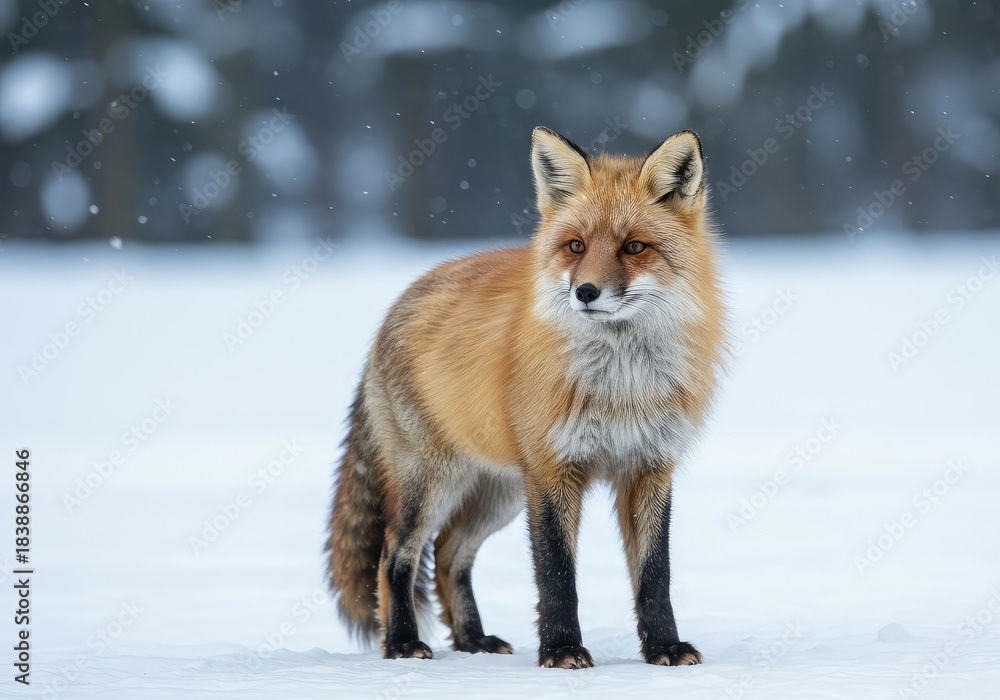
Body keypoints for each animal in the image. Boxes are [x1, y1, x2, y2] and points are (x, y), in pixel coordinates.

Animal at [325, 126, 725, 669]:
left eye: (634, 247)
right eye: (576, 246)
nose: (586, 292)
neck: (619, 387)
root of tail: (399, 303)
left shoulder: (649, 467)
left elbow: (653, 575)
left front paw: (664, 647)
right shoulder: (553, 472)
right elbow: (557, 575)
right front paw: (562, 650)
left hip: (499, 494)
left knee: (449, 556)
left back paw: (473, 641)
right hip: (432, 483)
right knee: (395, 556)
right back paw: (402, 643)